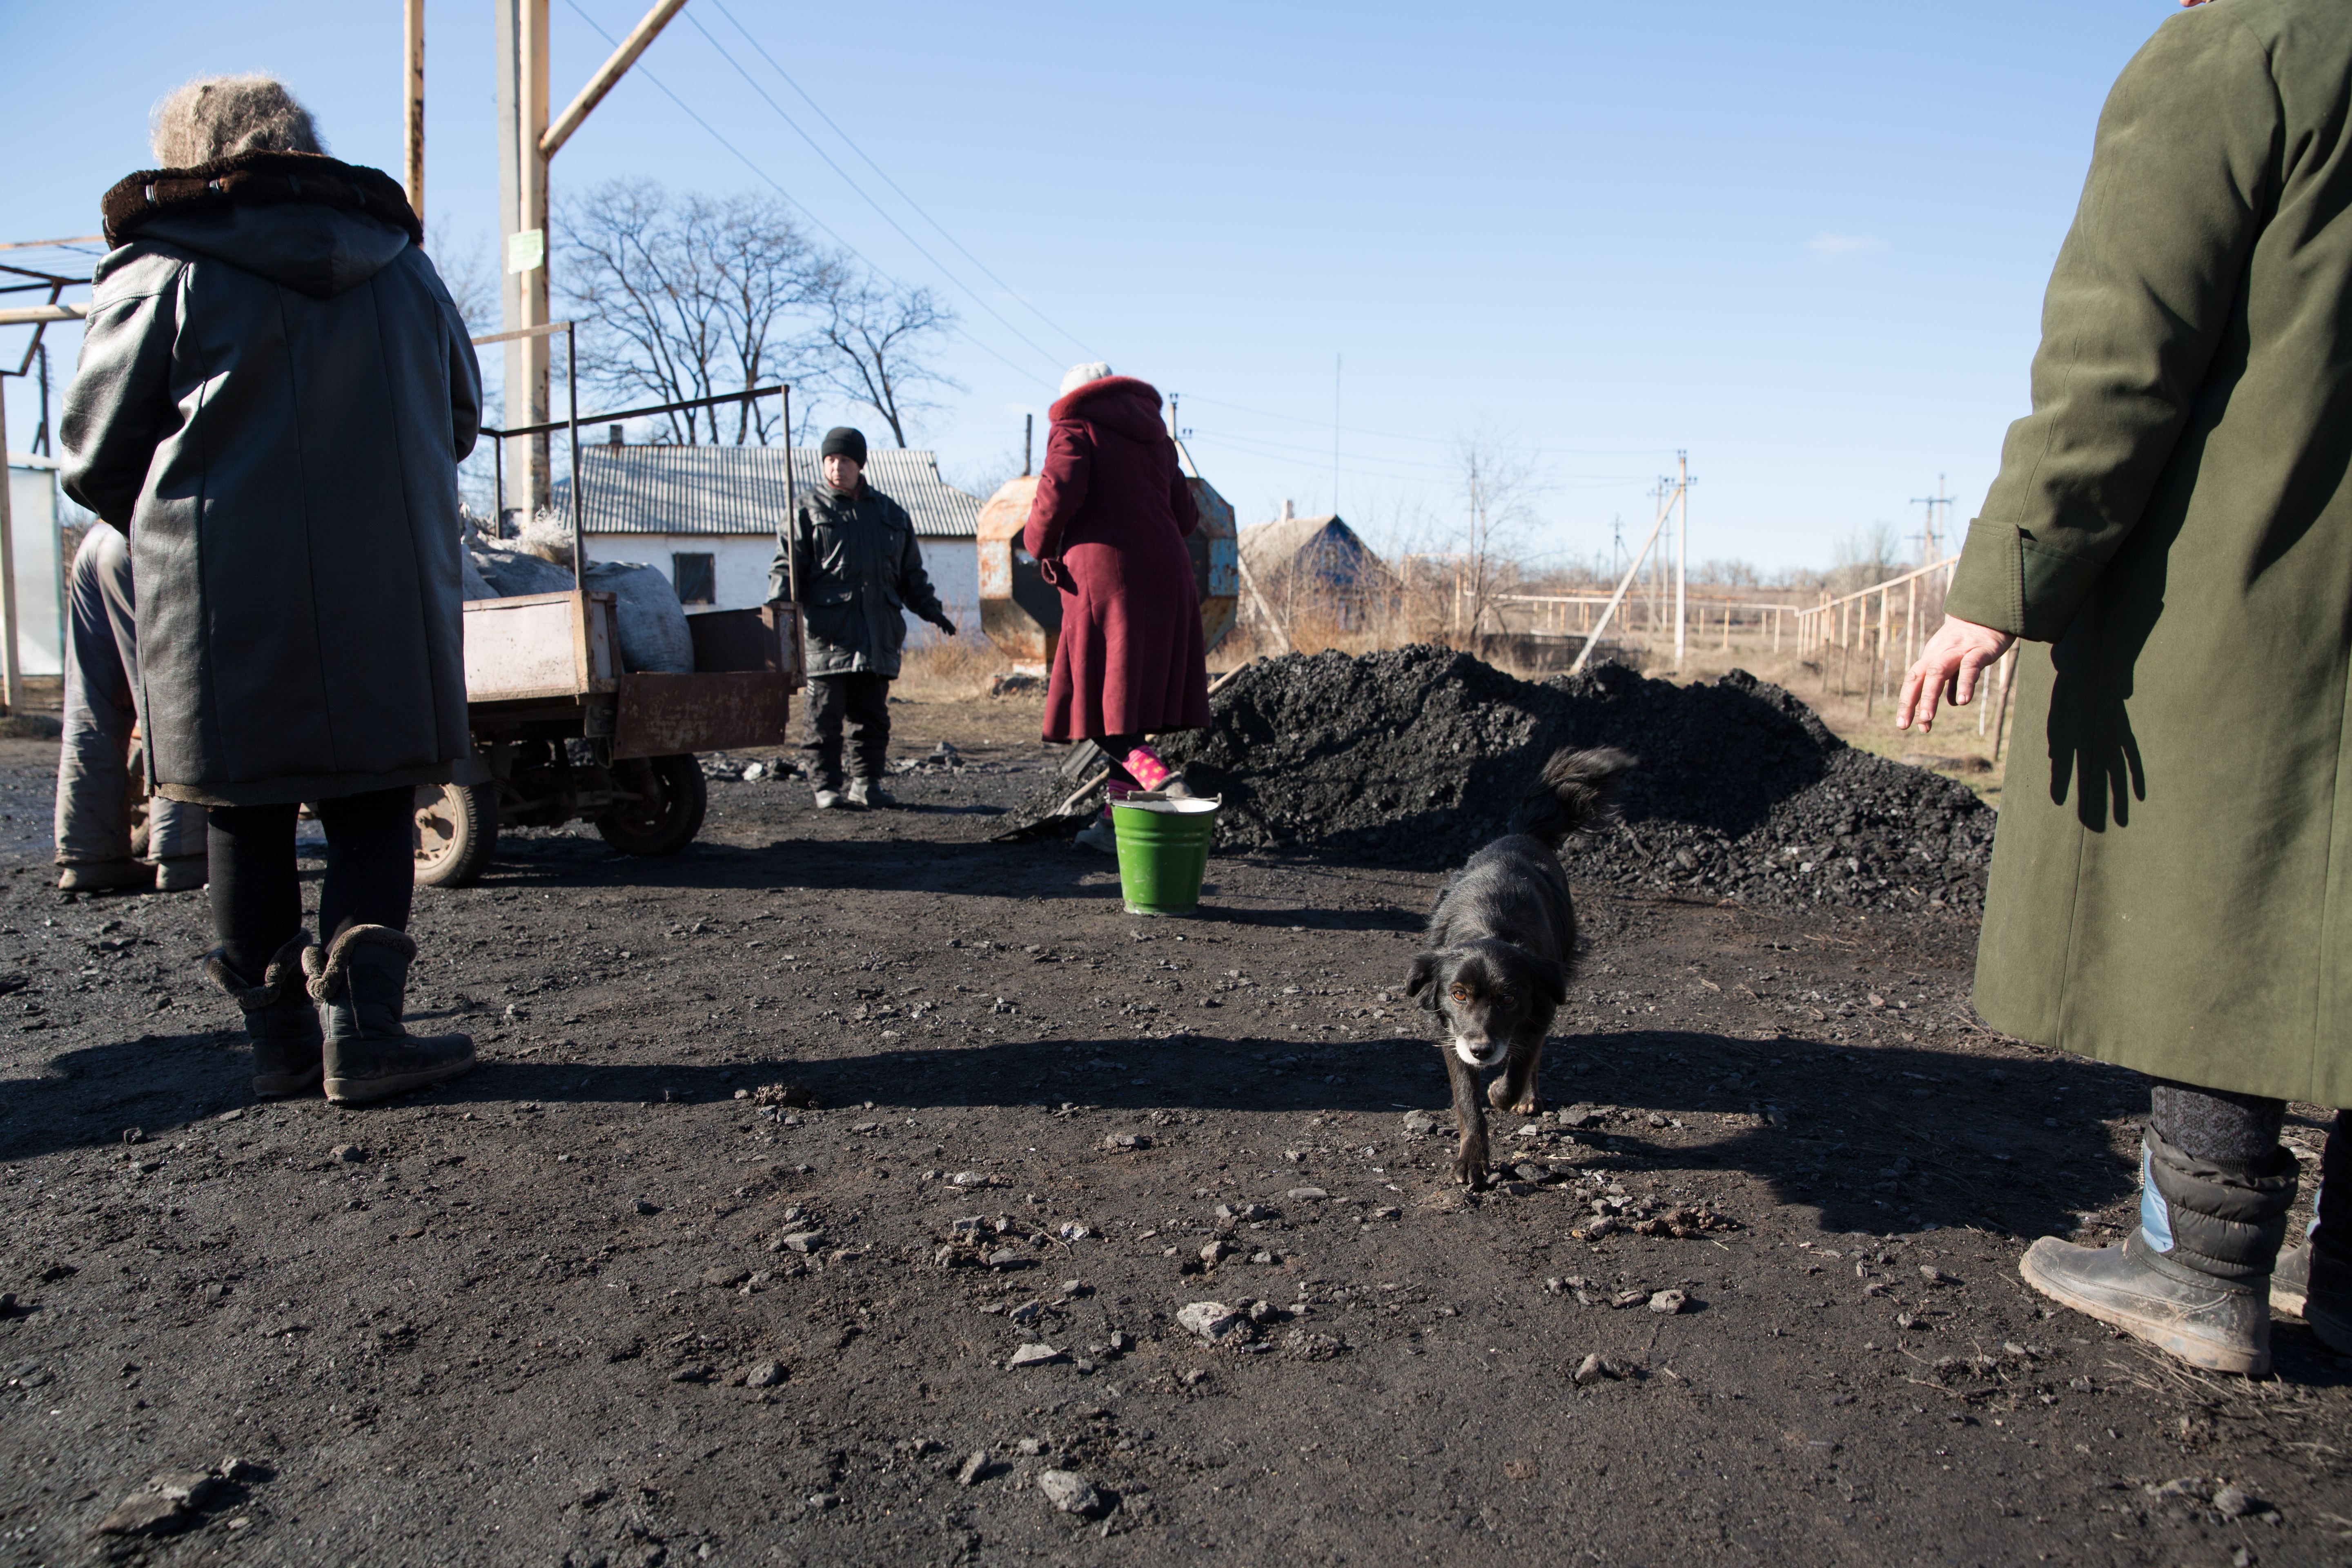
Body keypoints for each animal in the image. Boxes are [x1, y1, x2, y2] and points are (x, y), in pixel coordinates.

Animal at [1401, 747, 1627, 1175]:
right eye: (1458, 994)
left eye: (1509, 998)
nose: (1482, 1052)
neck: (1490, 926)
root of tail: (1523, 834)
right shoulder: (1452, 1032)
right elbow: (1466, 1099)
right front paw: (1473, 1158)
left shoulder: (1540, 1006)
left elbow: (1521, 1066)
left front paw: (1503, 1093)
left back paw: (1528, 1097)